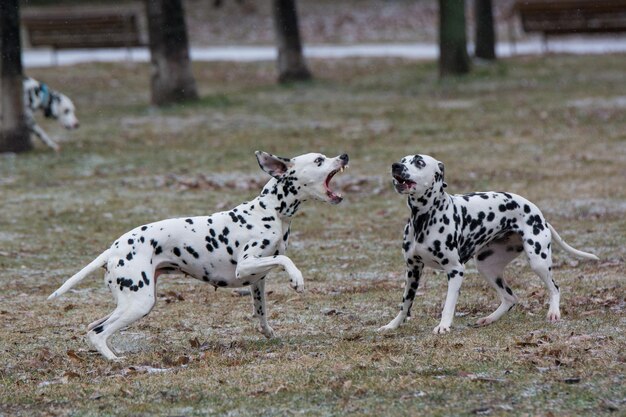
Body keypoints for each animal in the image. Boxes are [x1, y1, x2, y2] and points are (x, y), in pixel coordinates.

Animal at [378, 154, 596, 334]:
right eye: (403, 160)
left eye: (419, 162)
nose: (395, 165)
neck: (424, 217)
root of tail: (539, 215)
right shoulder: (413, 269)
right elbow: (405, 303)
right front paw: (392, 325)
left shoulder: (455, 270)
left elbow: (448, 304)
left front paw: (444, 326)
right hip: (486, 266)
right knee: (510, 298)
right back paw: (489, 319)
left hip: (538, 261)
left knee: (554, 288)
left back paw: (553, 312)